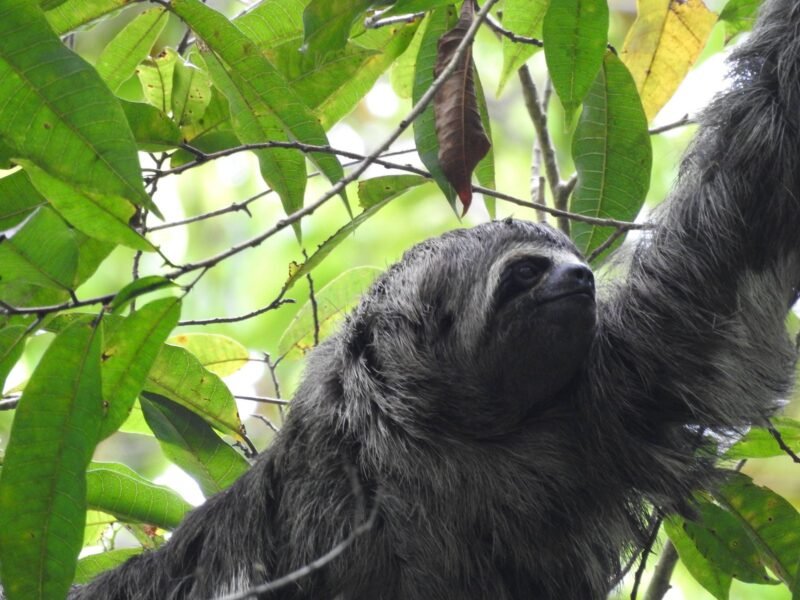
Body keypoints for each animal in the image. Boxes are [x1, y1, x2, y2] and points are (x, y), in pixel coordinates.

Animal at [54, 0, 800, 598]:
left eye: (574, 262)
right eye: (525, 274)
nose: (580, 280)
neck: (438, 434)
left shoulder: (604, 404)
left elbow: (735, 225)